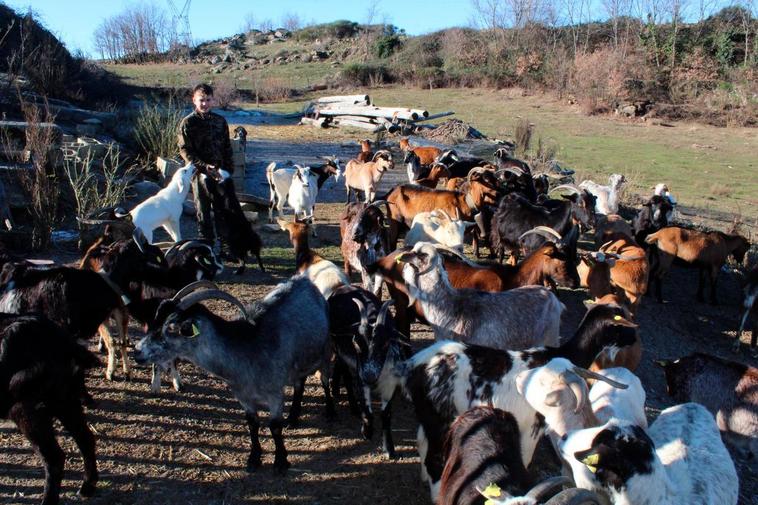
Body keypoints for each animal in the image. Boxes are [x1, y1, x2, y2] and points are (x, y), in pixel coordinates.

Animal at [134, 276, 336, 472]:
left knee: (325, 380)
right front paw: (254, 459)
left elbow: (274, 427)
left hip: (325, 351)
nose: (137, 351)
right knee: (299, 383)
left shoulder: (275, 393)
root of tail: (305, 281)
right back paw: (293, 418)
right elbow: (252, 424)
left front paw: (280, 461)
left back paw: (330, 411)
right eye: (155, 319)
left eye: (171, 327)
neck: (246, 349)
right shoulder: (243, 396)